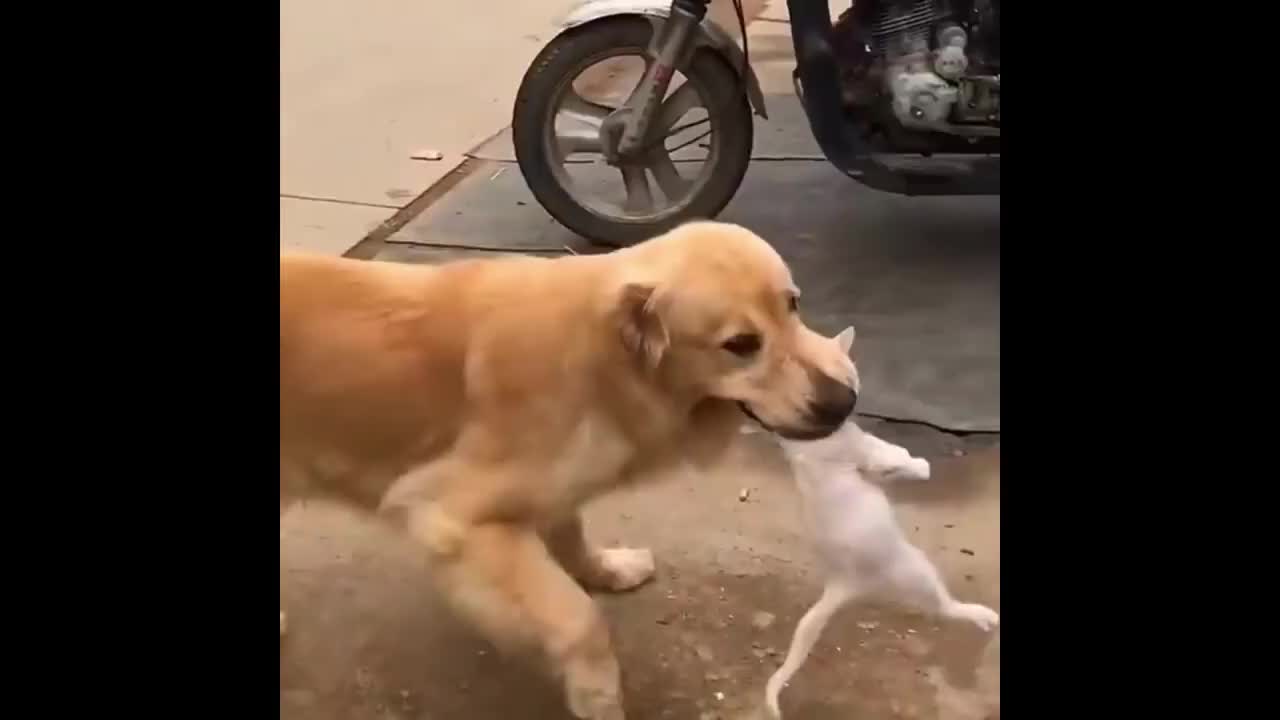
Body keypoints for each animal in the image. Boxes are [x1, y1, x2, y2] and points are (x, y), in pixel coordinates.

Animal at [762, 327, 993, 712]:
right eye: (849, 380)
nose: (855, 399)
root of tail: (844, 584)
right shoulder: (865, 453)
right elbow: (895, 456)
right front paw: (920, 466)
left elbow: (889, 465)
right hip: (917, 568)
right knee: (945, 608)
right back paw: (984, 616)